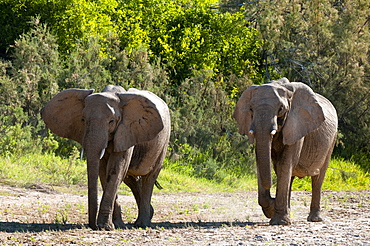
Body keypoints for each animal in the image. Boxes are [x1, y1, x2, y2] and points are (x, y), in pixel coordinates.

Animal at [40, 85, 171, 230]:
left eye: (111, 121)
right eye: (83, 120)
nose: (93, 226)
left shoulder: (126, 130)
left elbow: (116, 169)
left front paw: (105, 226)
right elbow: (103, 171)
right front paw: (116, 224)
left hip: (164, 142)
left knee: (149, 177)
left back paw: (142, 224)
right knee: (130, 179)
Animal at [234, 78, 338, 225]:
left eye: (281, 109)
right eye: (250, 108)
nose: (272, 199)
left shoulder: (296, 125)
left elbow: (285, 163)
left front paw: (279, 221)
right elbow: (266, 162)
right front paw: (274, 210)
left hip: (331, 140)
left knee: (318, 178)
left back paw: (314, 219)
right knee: (290, 176)